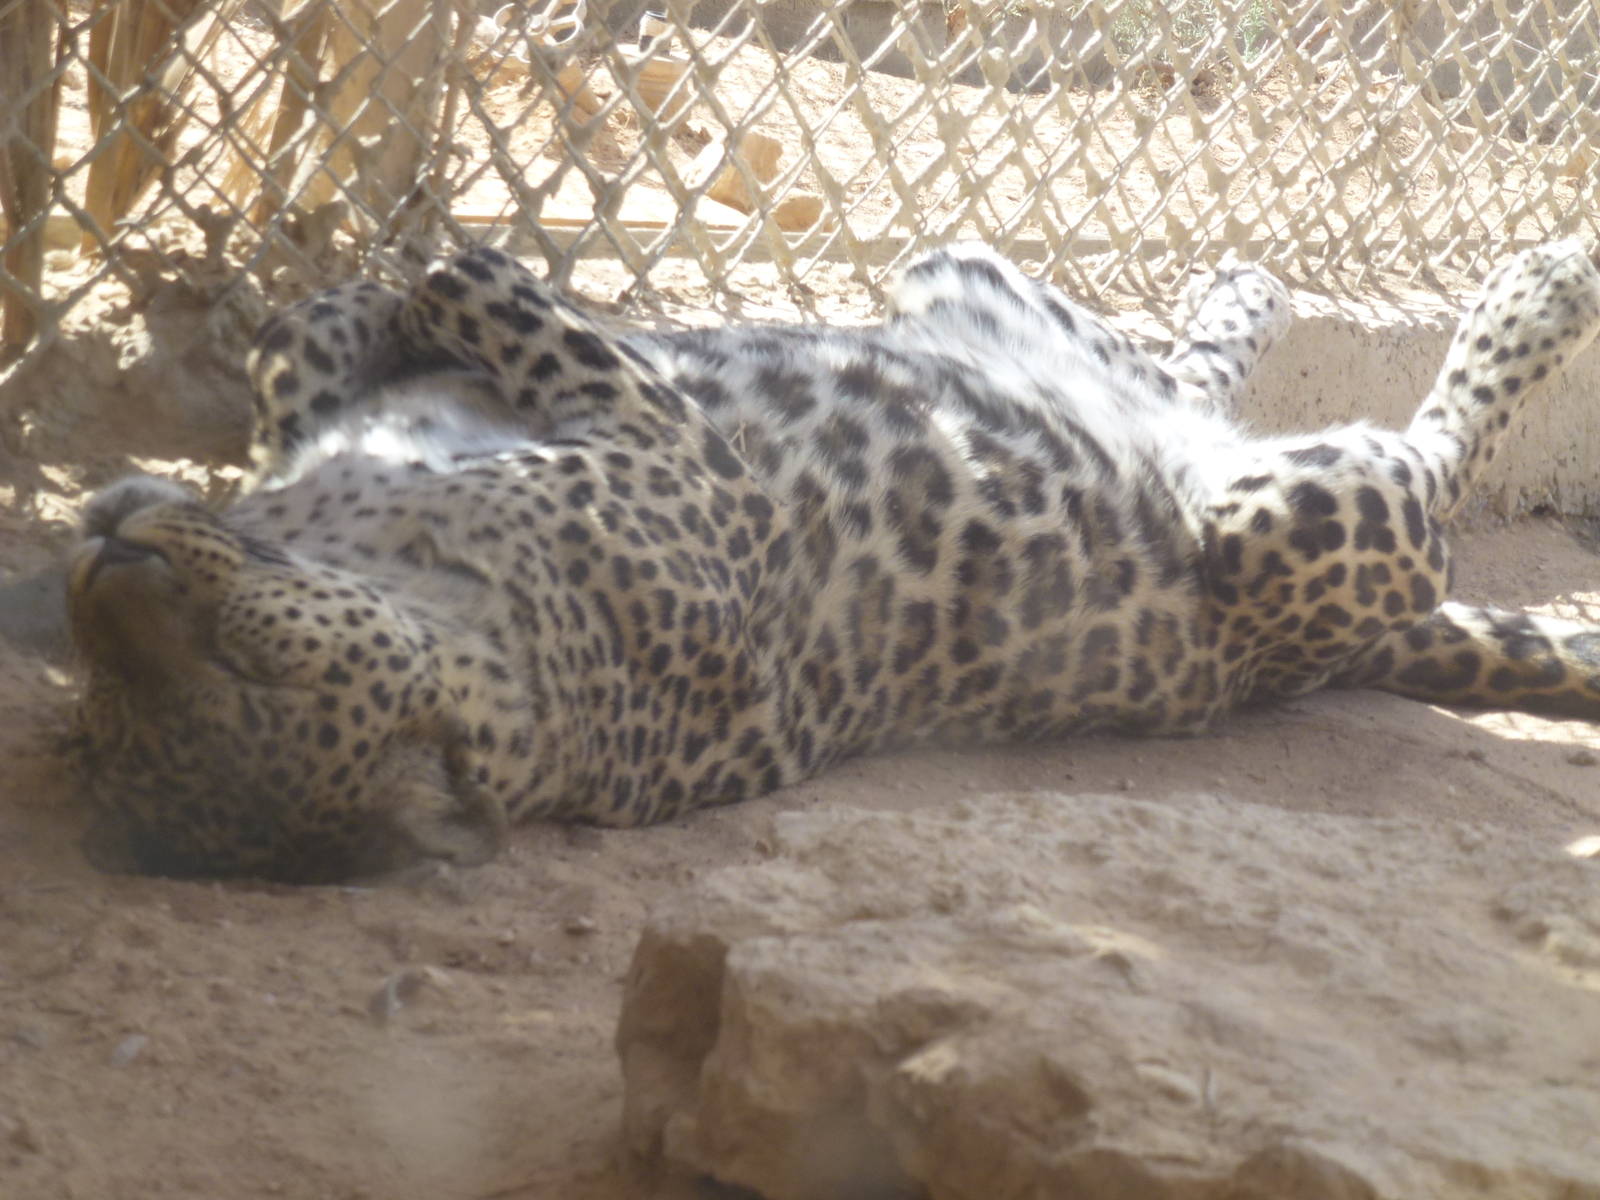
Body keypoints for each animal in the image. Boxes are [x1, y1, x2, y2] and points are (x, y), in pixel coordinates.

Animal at [65, 238, 1600, 882]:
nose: (100, 548)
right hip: (1286, 516)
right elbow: (465, 311)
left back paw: (1284, 284)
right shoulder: (667, 446)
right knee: (1409, 455)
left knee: (1175, 369)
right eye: (114, 702)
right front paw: (421, 286)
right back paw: (1533, 286)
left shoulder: (621, 434)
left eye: (241, 655)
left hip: (962, 277)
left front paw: (378, 297)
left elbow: (341, 329)